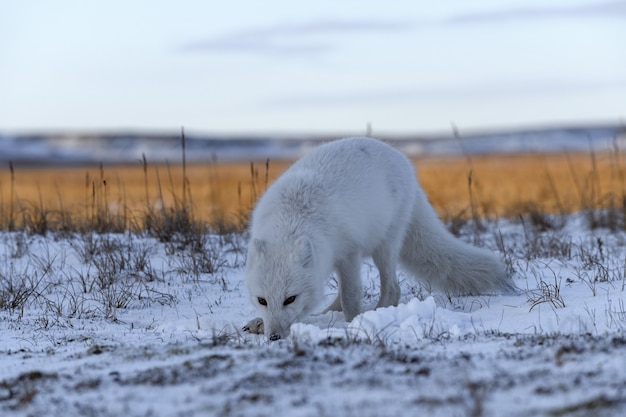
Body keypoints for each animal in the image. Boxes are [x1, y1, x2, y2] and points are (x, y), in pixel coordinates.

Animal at [241, 138, 510, 340]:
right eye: (262, 300)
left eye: (290, 299)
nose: (274, 336)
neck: (292, 220)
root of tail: (401, 158)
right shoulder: (337, 258)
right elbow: (342, 295)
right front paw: (259, 322)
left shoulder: (348, 253)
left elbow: (350, 297)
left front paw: (353, 324)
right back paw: (325, 314)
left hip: (385, 244)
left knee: (392, 289)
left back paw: (376, 313)